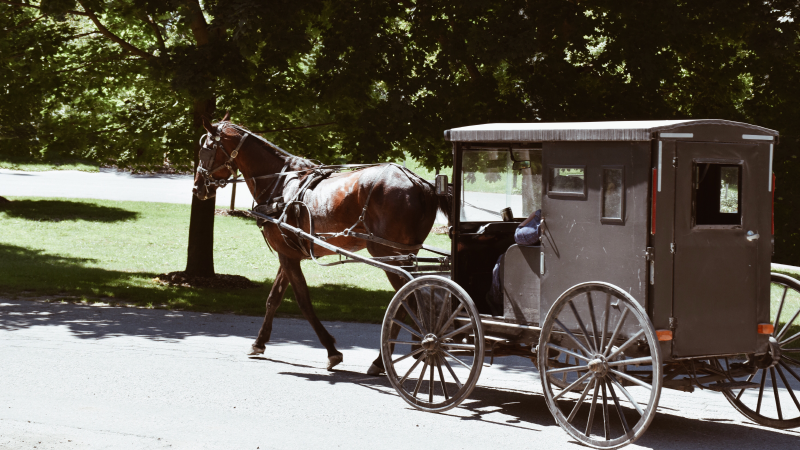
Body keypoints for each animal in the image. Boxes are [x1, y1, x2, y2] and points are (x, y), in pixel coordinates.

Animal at [192, 113, 450, 373]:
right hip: (408, 253)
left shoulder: (286, 255)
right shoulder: (289, 252)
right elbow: (273, 298)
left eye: (205, 150)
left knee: (406, 300)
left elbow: (303, 301)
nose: (197, 187)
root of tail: (418, 182)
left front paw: (331, 351)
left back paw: (385, 359)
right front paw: (259, 342)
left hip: (385, 251)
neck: (279, 185)